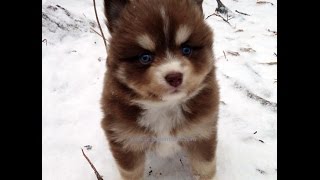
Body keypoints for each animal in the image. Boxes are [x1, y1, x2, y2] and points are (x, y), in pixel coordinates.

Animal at [100, 0, 220, 179]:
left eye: (186, 49)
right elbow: (132, 171)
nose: (175, 77)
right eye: (145, 57)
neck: (164, 106)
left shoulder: (201, 132)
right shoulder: (125, 138)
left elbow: (204, 167)